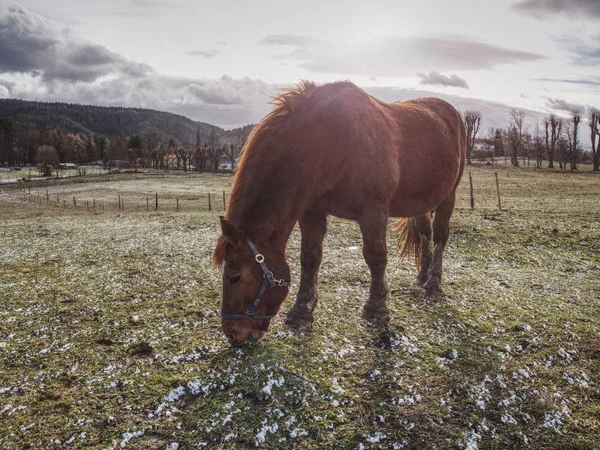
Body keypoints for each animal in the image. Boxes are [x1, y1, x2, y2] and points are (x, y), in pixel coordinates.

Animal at [213, 81, 466, 346]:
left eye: (234, 277)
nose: (232, 334)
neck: (333, 143)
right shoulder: (312, 211)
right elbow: (310, 258)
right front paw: (301, 313)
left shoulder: (373, 212)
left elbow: (375, 257)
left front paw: (376, 308)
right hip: (422, 201)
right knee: (425, 233)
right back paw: (423, 275)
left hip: (448, 196)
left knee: (440, 237)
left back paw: (432, 284)